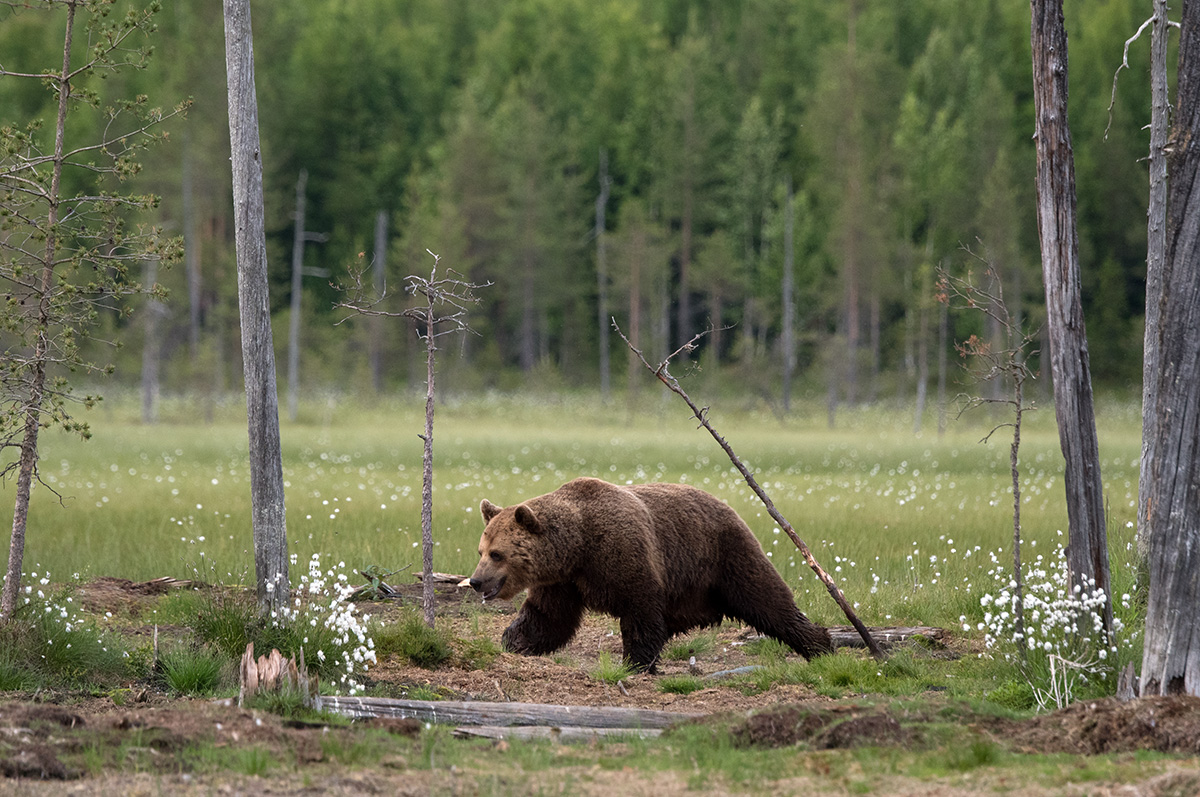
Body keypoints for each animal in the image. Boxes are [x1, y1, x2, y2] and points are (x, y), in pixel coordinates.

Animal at [468, 475, 835, 667]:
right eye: (481, 551)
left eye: (498, 554)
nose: (476, 580)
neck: (578, 546)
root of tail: (727, 505)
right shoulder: (563, 581)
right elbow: (548, 617)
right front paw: (514, 640)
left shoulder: (622, 553)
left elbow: (640, 608)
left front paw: (635, 661)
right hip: (692, 587)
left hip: (725, 553)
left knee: (767, 598)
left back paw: (820, 645)